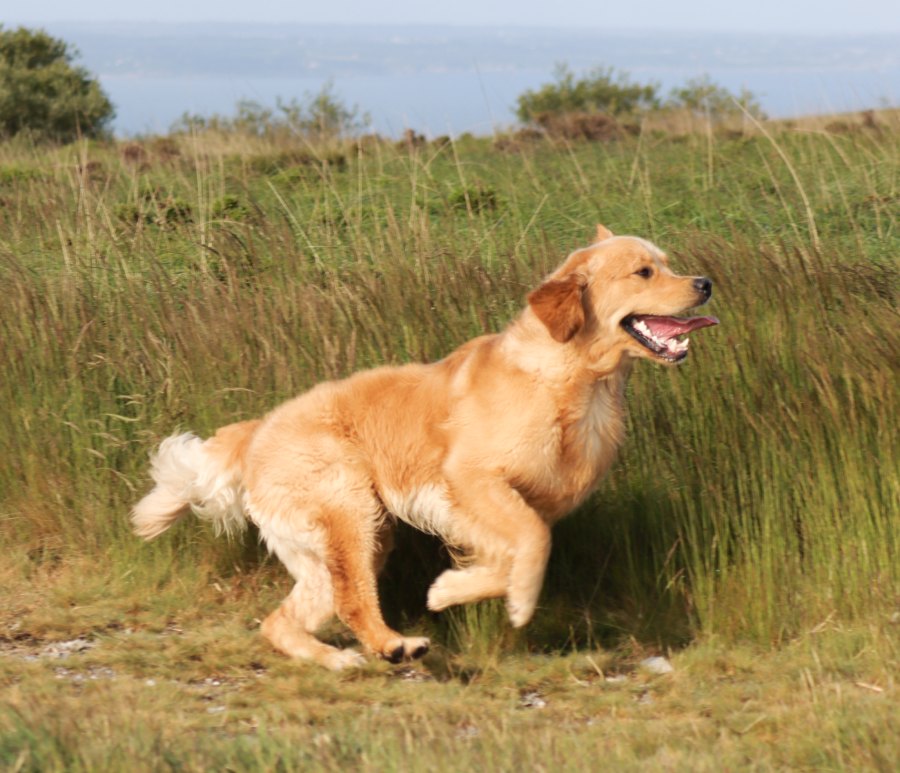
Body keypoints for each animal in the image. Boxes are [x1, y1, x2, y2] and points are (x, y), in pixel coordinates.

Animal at [132, 225, 717, 670]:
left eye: (665, 263)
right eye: (644, 272)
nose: (706, 282)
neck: (572, 380)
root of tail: (257, 429)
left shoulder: (505, 511)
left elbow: (512, 557)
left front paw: (450, 590)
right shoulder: (472, 481)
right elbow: (534, 546)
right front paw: (516, 605)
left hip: (342, 542)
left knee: (284, 618)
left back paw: (337, 659)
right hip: (351, 512)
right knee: (352, 600)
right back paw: (394, 646)